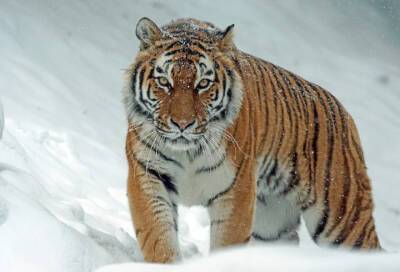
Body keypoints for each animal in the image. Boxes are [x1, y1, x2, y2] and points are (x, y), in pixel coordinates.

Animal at [124, 17, 382, 264]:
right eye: (164, 82)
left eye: (203, 84)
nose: (182, 124)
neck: (188, 152)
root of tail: (344, 113)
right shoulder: (147, 176)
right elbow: (158, 236)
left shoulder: (235, 190)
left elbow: (227, 243)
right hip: (272, 225)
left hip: (343, 218)